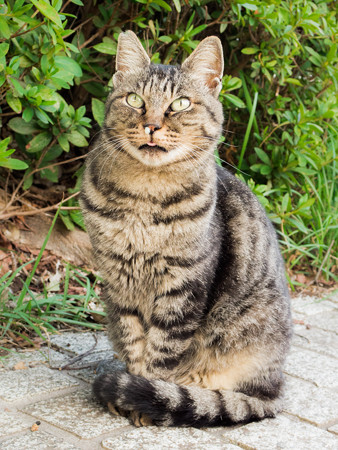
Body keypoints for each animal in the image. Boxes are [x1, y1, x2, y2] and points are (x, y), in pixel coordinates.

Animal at [80, 29, 294, 428]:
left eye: (179, 104)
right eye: (134, 100)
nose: (151, 125)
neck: (144, 196)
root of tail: (275, 390)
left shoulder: (184, 285)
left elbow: (162, 352)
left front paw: (146, 397)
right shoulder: (118, 280)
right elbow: (134, 342)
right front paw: (132, 388)